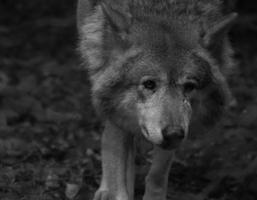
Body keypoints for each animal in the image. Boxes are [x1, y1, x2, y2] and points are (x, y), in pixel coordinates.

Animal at [76, 0, 236, 200]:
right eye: (149, 84)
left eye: (189, 86)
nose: (174, 133)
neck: (162, 9)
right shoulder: (115, 113)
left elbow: (157, 177)